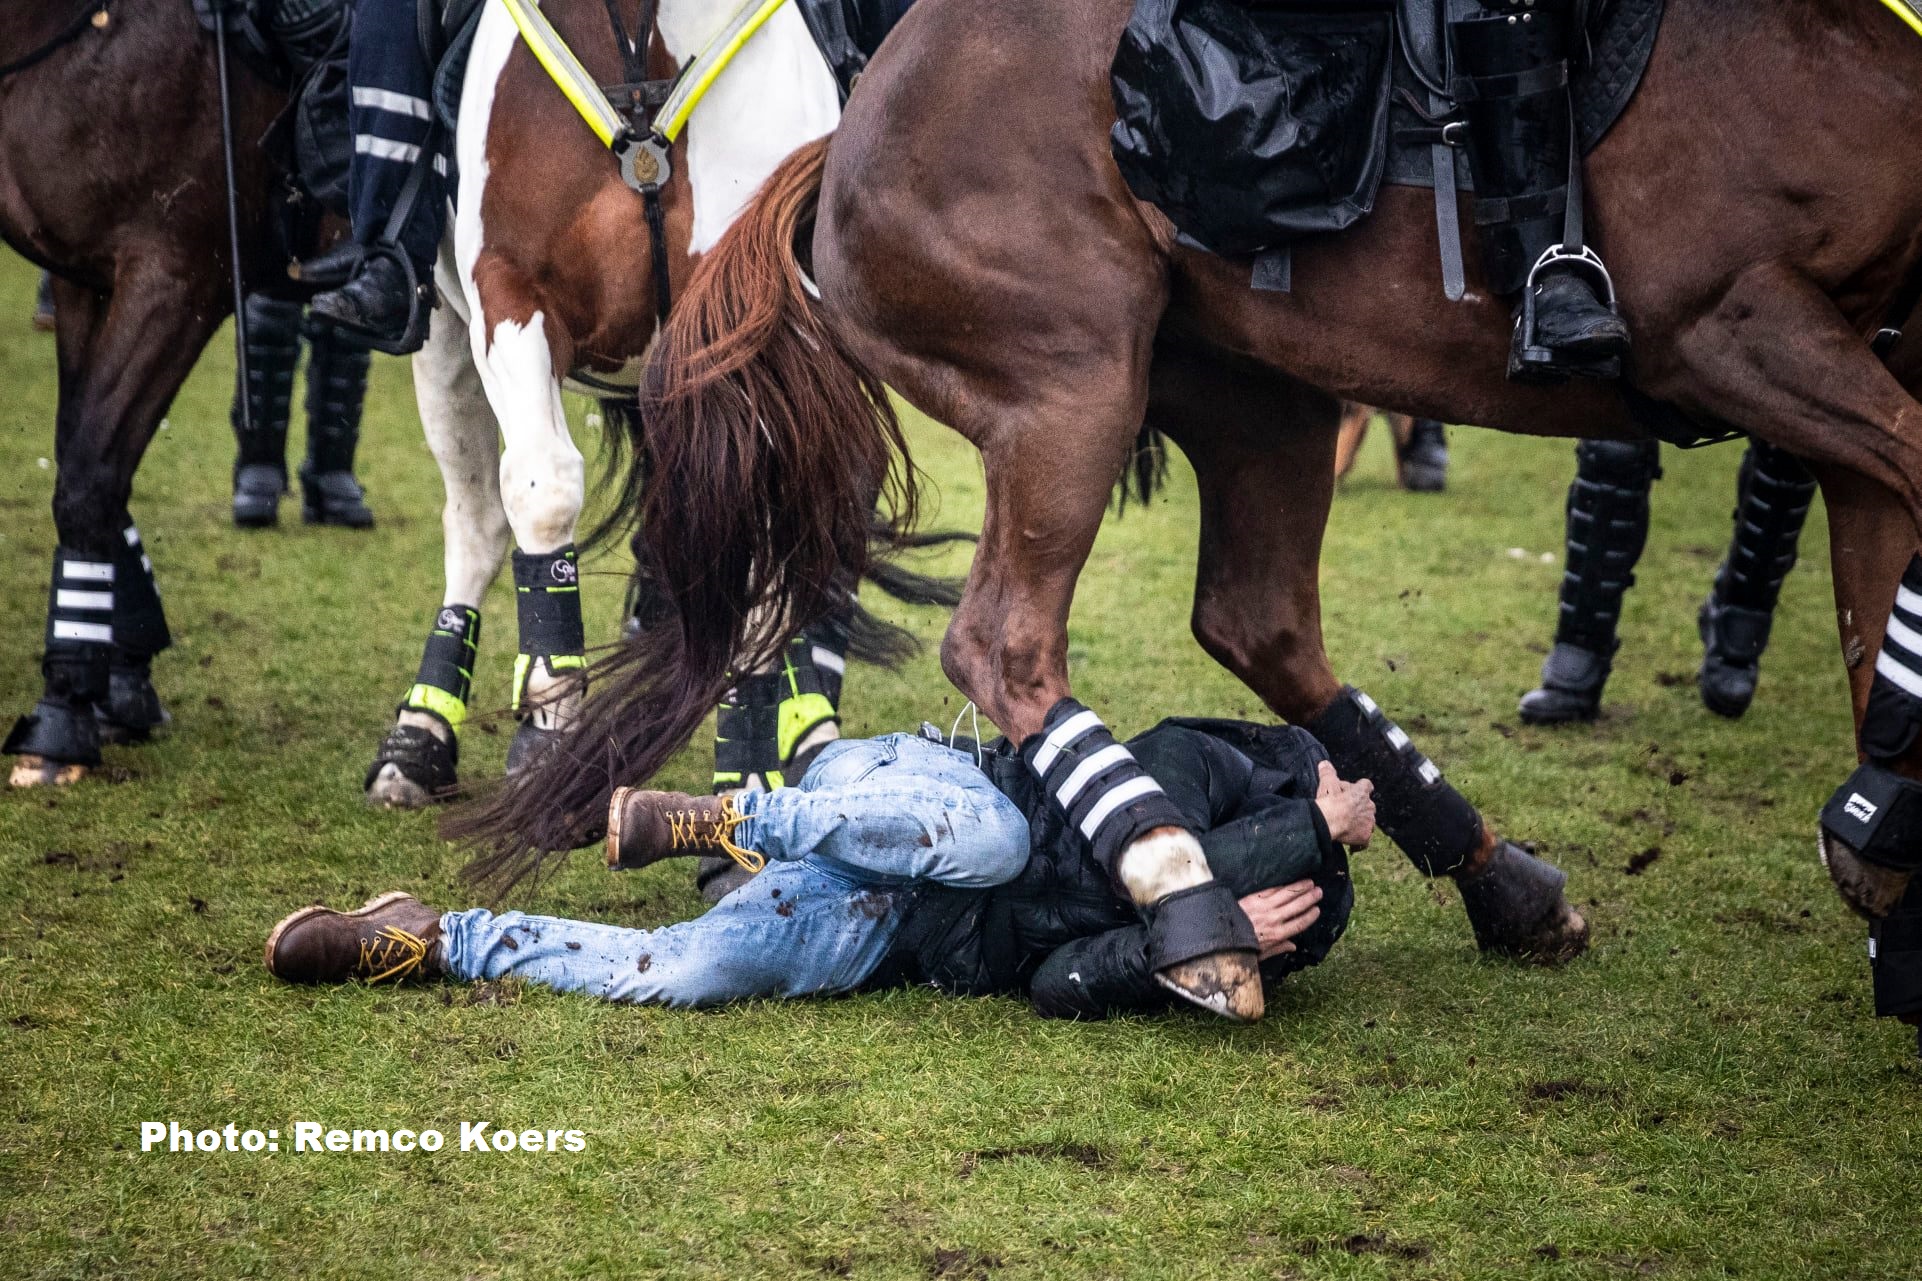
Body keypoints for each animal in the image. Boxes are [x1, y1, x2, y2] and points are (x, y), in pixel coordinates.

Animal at [461, 0, 1922, 1007]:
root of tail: (858, 117)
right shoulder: (1737, 324)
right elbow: (1901, 494)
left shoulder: (1854, 361)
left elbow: (1877, 601)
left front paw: (1881, 835)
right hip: (1072, 385)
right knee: (1008, 644)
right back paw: (1183, 888)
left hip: (1259, 390)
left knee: (1252, 621)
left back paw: (1498, 884)